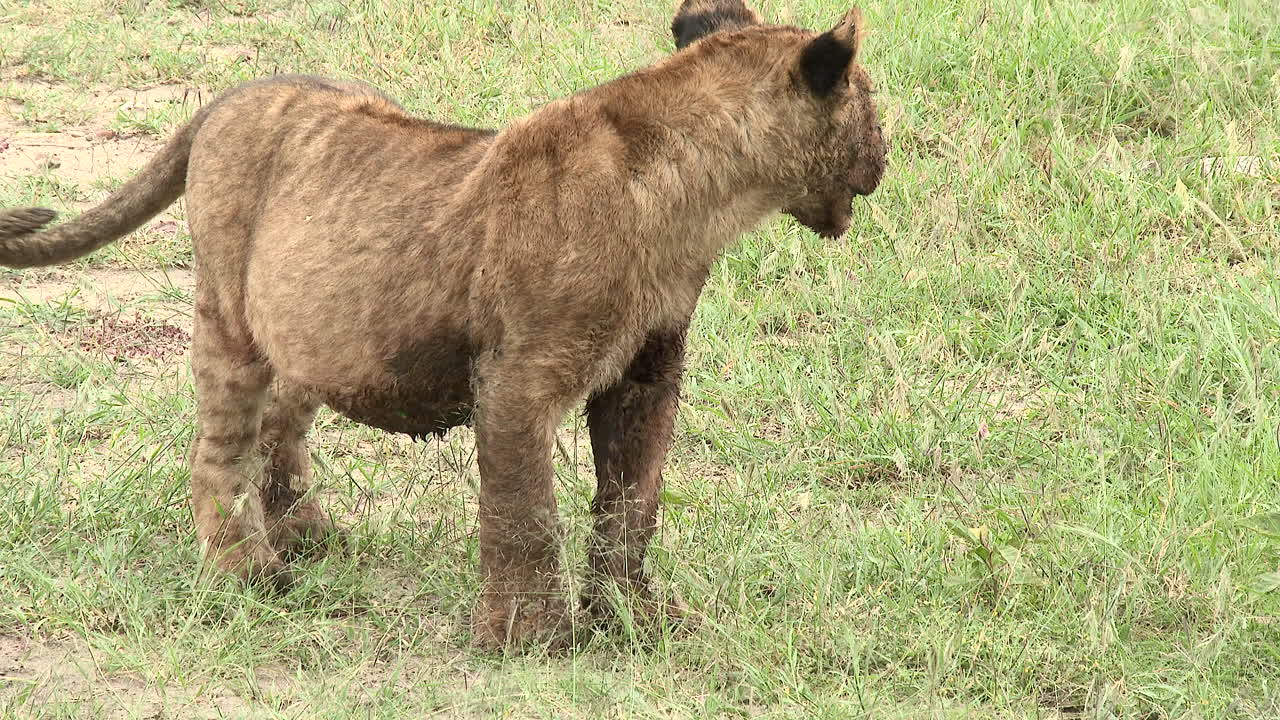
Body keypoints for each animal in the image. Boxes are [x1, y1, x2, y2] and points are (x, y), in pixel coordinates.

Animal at [0, 0, 886, 649]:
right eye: (871, 98)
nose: (888, 151)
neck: (702, 200)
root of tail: (231, 95)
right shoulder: (520, 378)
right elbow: (525, 513)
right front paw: (530, 639)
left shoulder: (645, 375)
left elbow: (632, 503)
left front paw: (633, 620)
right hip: (228, 313)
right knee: (219, 447)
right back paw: (247, 574)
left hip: (315, 326)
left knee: (283, 418)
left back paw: (308, 536)